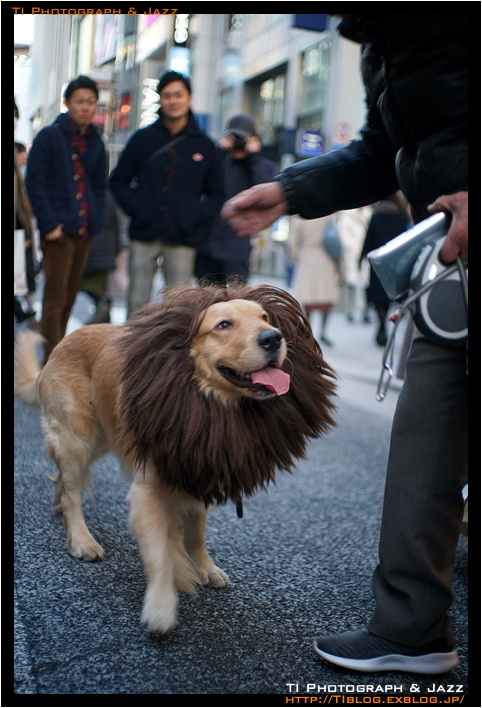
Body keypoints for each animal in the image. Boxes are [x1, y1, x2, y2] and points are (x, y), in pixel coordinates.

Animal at [13, 284, 334, 632]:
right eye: (224, 324)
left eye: (265, 317)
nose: (274, 338)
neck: (206, 398)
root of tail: (62, 344)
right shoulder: (150, 490)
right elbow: (160, 553)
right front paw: (161, 605)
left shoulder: (200, 467)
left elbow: (196, 531)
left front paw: (204, 566)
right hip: (78, 436)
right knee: (73, 491)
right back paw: (81, 538)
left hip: (102, 437)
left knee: (63, 477)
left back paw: (60, 507)